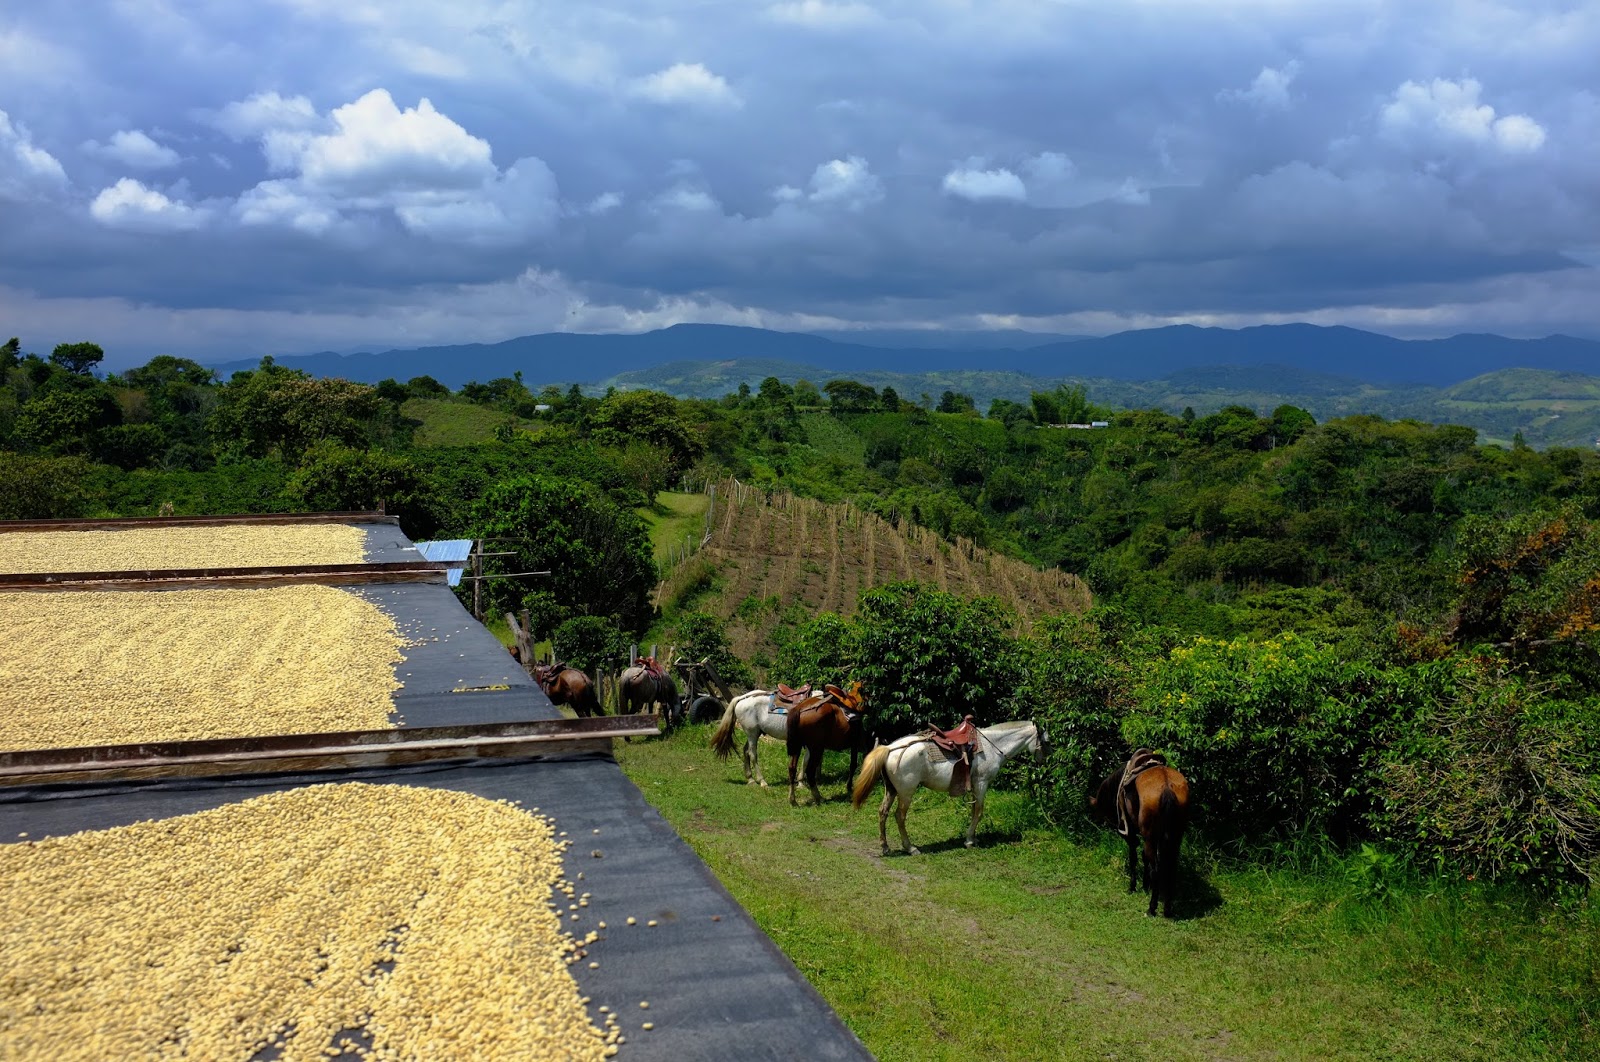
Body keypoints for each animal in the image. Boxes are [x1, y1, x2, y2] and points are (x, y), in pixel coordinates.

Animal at [857, 716, 1043, 857]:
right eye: (1046, 739)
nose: (1044, 759)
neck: (991, 746)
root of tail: (889, 748)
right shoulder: (981, 783)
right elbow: (979, 811)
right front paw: (969, 841)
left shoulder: (975, 786)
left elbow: (973, 810)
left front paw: (973, 838)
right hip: (906, 793)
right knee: (899, 816)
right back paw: (911, 848)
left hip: (891, 790)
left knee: (883, 812)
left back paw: (885, 847)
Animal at [1088, 751, 1190, 914]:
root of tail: (1167, 787)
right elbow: (1144, 857)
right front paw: (1145, 884)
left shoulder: (1131, 834)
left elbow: (1134, 858)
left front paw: (1133, 886)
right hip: (1174, 837)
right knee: (1170, 868)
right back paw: (1167, 908)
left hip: (1150, 838)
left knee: (1156, 870)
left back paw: (1152, 908)